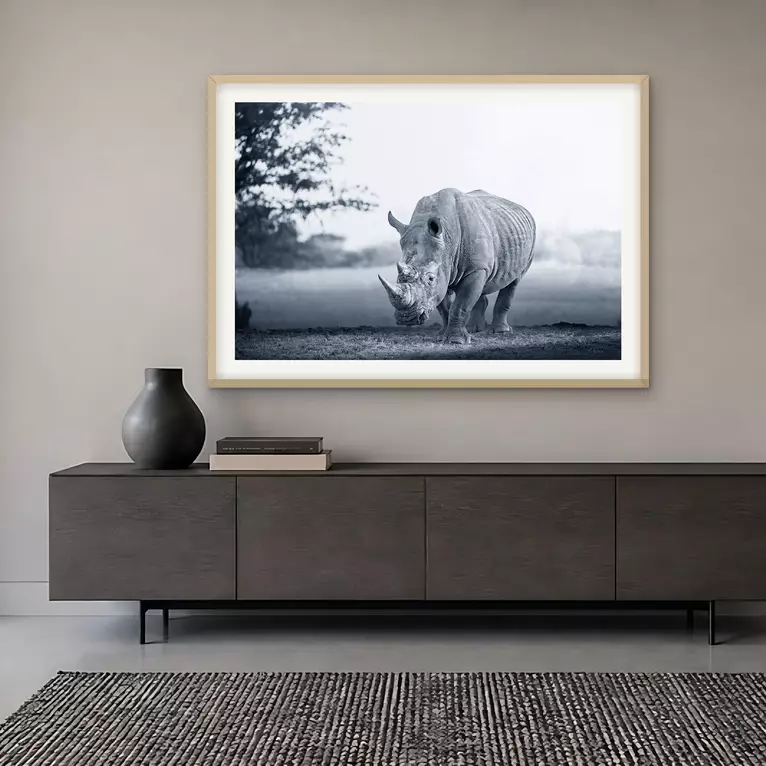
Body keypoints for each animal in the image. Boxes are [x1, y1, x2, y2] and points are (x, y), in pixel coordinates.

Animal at [379, 188, 536, 344]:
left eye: (430, 279)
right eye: (398, 277)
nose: (406, 318)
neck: (447, 239)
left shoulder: (473, 269)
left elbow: (460, 305)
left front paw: (456, 340)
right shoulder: (445, 270)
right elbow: (444, 307)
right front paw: (442, 336)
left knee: (514, 281)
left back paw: (500, 331)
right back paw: (474, 329)